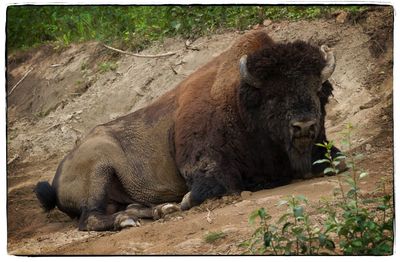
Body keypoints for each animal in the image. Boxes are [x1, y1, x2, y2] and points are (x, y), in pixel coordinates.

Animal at [36, 30, 344, 231]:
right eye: (273, 95)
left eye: (318, 89)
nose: (304, 125)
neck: (240, 101)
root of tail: (56, 176)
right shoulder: (204, 163)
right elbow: (211, 188)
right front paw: (184, 201)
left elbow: (339, 162)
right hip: (99, 167)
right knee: (90, 218)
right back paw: (131, 219)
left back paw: (158, 210)